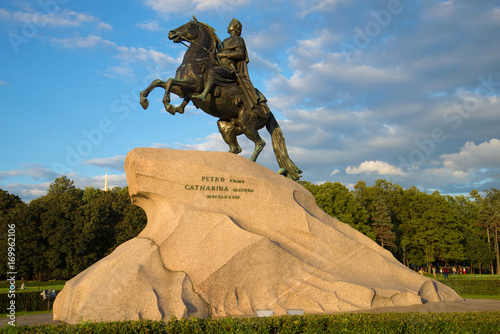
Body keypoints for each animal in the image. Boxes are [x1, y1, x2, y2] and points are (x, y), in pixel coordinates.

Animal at [139, 17, 300, 181]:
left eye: (189, 25)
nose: (171, 33)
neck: (196, 59)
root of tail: (267, 111)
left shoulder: (194, 84)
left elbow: (170, 81)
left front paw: (168, 104)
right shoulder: (182, 90)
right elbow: (160, 82)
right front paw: (144, 100)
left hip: (247, 125)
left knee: (260, 143)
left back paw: (251, 163)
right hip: (226, 125)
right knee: (236, 148)